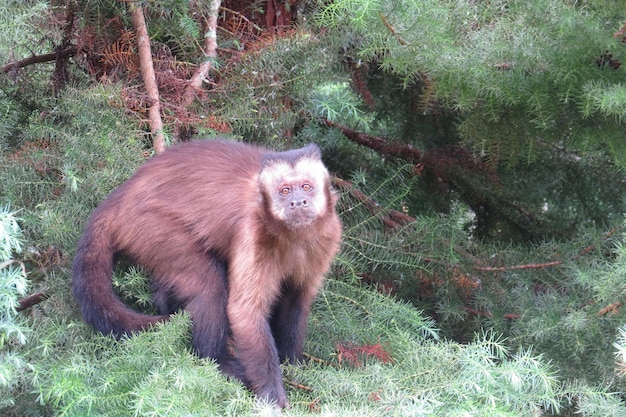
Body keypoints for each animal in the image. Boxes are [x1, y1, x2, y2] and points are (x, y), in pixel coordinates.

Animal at [72, 138, 342, 408]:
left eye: (306, 187)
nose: (297, 202)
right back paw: (217, 361)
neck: (293, 237)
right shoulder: (253, 232)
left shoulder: (327, 237)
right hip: (150, 225)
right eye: (284, 191)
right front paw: (271, 396)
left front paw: (293, 365)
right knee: (208, 287)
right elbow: (244, 311)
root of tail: (118, 198)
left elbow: (296, 300)